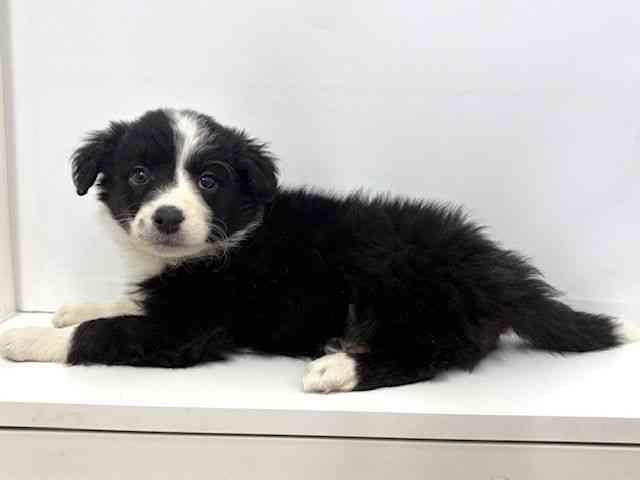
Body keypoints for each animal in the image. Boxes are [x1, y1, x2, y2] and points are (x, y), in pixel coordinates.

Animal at [1, 108, 636, 393]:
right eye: (138, 175)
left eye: (208, 181)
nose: (167, 217)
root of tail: (493, 265)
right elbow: (124, 305)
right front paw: (73, 307)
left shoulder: (193, 326)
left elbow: (106, 332)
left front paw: (26, 337)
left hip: (401, 277)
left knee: (430, 351)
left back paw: (338, 366)